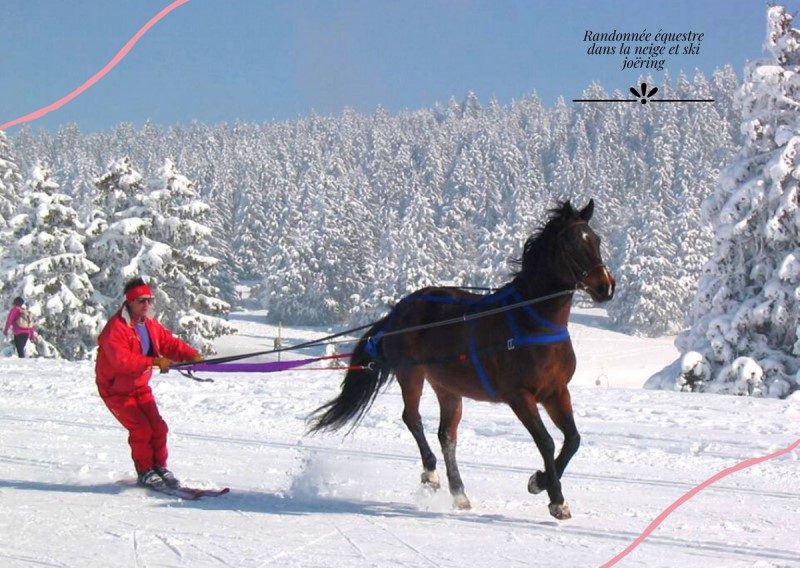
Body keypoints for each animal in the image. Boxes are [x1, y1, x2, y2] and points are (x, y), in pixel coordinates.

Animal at [310, 200, 616, 520]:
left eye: (596, 240)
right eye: (571, 243)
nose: (606, 287)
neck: (534, 323)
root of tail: (398, 311)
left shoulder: (556, 392)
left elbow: (573, 440)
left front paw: (539, 481)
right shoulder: (519, 396)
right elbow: (546, 441)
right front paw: (556, 499)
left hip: (447, 387)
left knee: (447, 435)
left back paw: (459, 493)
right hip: (411, 374)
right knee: (412, 419)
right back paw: (431, 474)